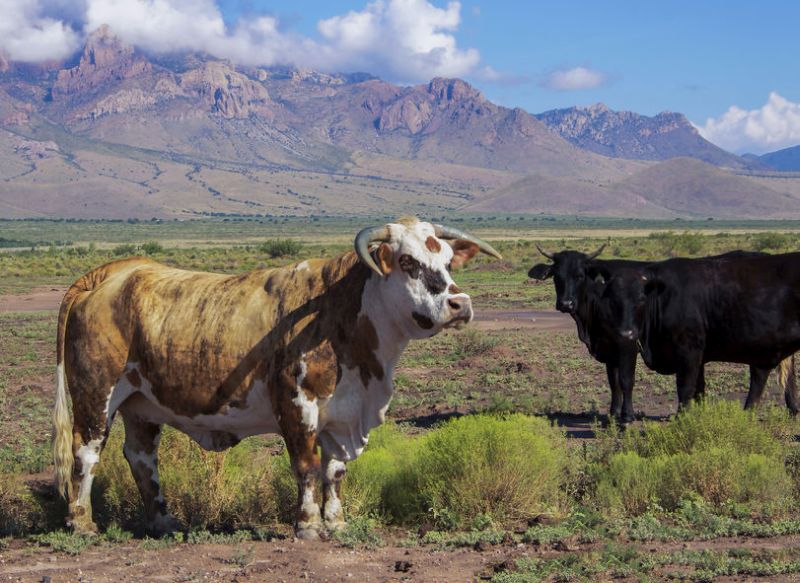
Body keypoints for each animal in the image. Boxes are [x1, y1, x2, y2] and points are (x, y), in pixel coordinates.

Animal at [53, 218, 496, 540]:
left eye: (448, 262)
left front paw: (336, 522)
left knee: (142, 458)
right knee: (86, 452)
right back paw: (82, 522)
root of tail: (114, 274)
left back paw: (164, 522)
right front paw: (309, 524)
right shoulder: (297, 405)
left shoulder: (343, 414)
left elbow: (335, 471)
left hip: (142, 406)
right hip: (97, 394)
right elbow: (307, 465)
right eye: (407, 262)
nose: (459, 304)